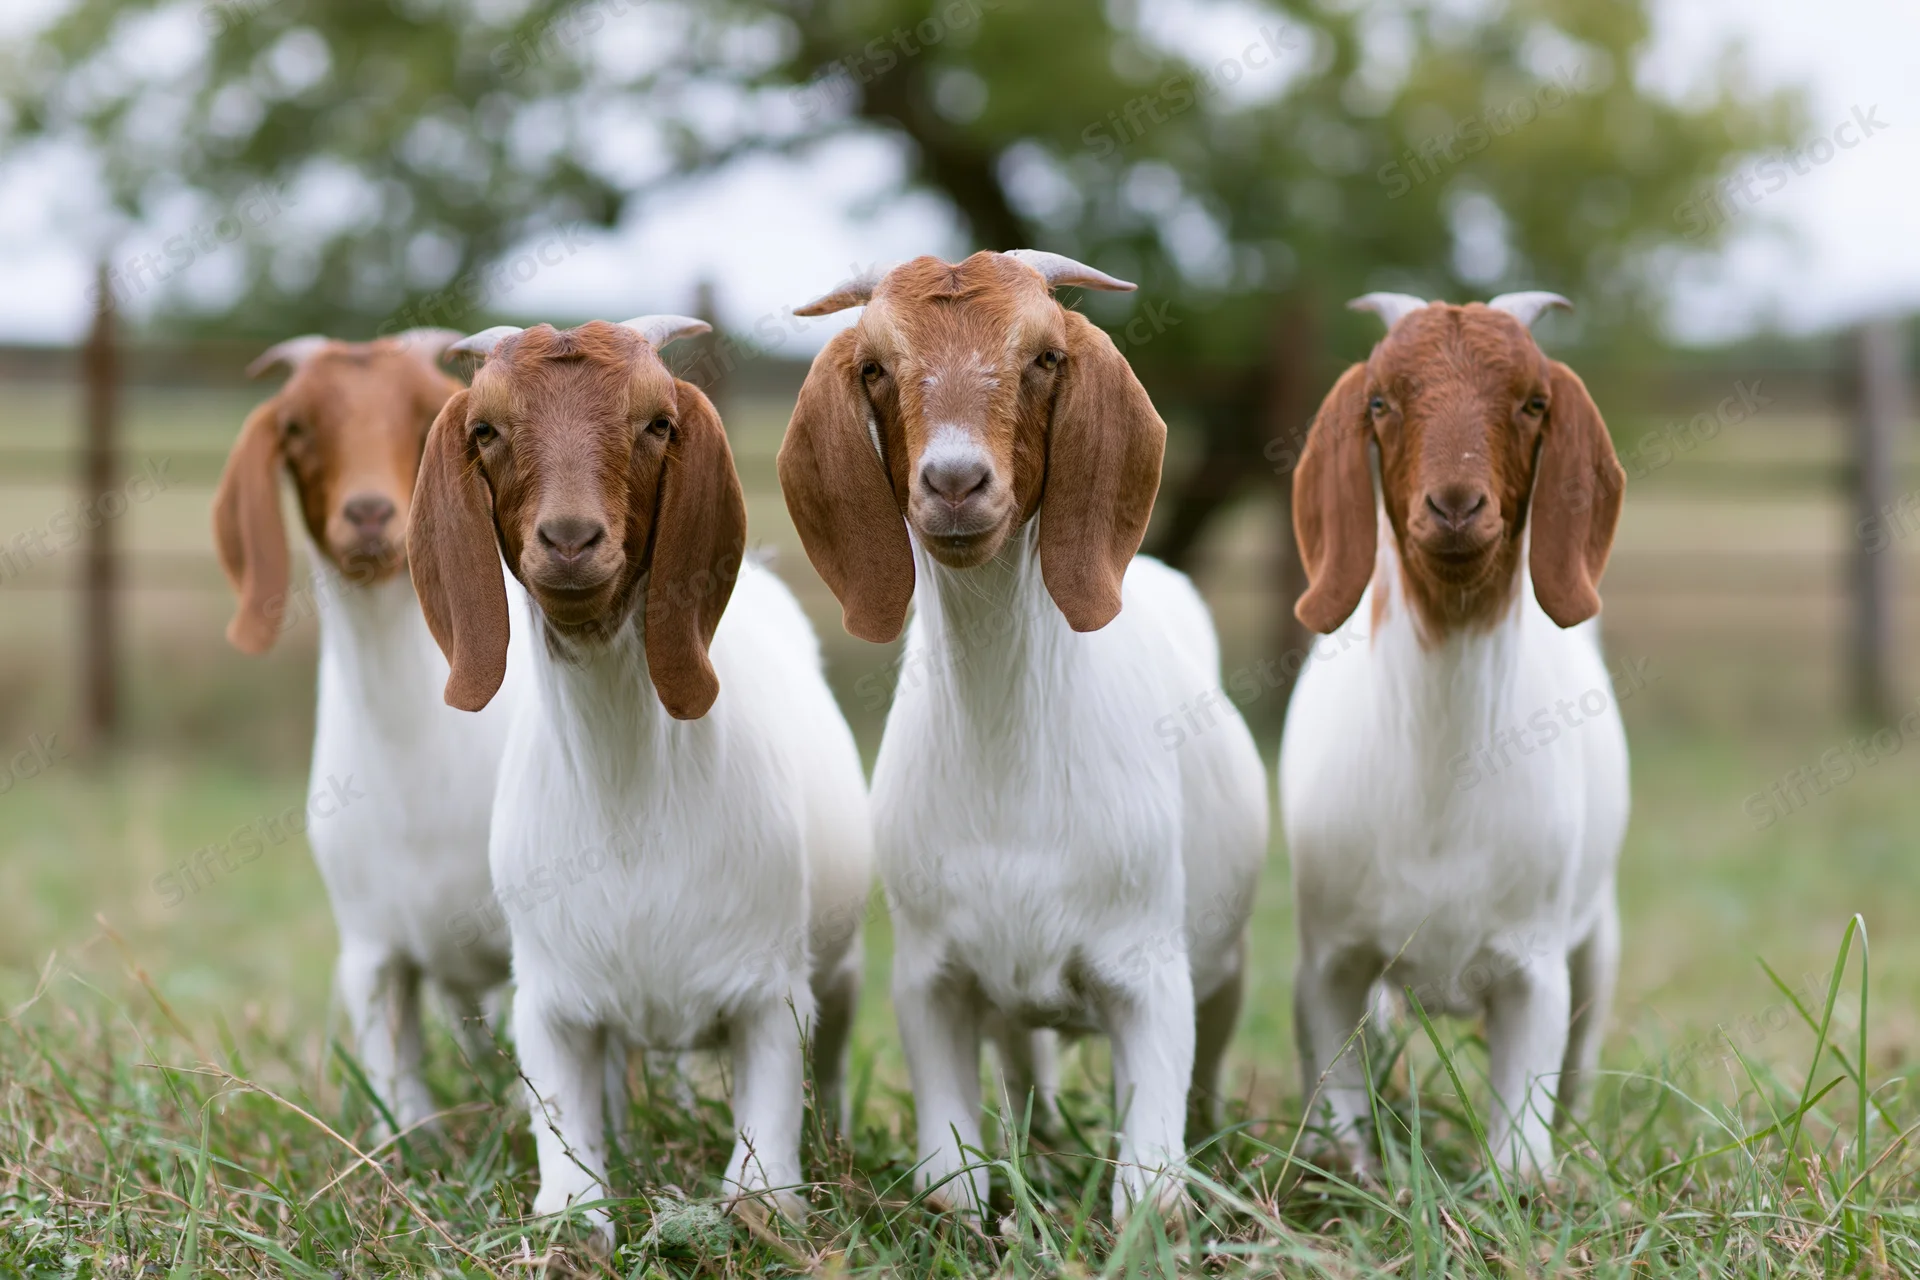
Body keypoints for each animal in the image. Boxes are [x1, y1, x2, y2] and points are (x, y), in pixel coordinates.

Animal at [408, 317, 872, 1243]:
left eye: (656, 423)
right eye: (487, 429)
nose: (570, 539)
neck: (627, 798)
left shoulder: (771, 993)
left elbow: (761, 1163)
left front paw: (774, 1209)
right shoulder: (548, 996)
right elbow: (567, 1155)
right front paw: (571, 1219)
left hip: (840, 967)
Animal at [778, 251, 1268, 1218]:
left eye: (1044, 356)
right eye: (875, 366)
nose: (954, 482)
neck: (1009, 755)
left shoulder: (1152, 974)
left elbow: (1149, 1188)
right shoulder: (931, 978)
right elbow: (949, 1180)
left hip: (1225, 964)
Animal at [1279, 291, 1630, 1182]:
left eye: (1534, 402)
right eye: (1380, 402)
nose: (1456, 507)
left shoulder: (1535, 967)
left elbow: (1523, 1134)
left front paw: (1526, 1184)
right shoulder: (1328, 962)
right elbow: (1338, 1103)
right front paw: (1354, 1175)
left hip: (1597, 933)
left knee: (1584, 1053)